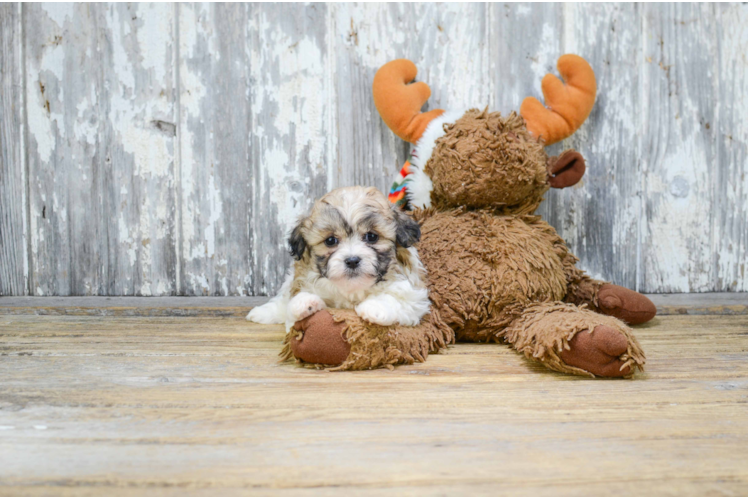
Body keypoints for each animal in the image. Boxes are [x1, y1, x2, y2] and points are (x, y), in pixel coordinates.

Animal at [247, 186, 430, 330]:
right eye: (330, 240)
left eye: (372, 236)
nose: (352, 260)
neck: (351, 289)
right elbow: (295, 305)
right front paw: (305, 303)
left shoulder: (414, 296)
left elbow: (395, 298)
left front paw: (375, 307)